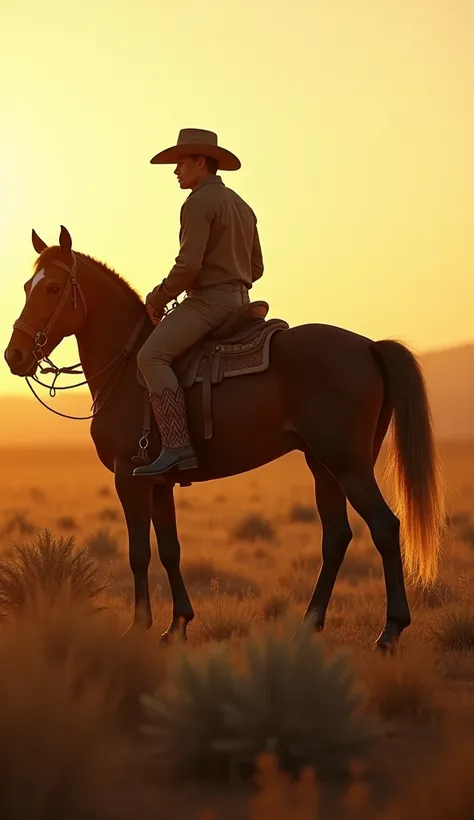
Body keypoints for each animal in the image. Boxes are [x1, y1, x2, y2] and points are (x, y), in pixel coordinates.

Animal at [3, 227, 444, 652]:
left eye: (52, 288)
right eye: (26, 286)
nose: (15, 355)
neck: (126, 369)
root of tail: (370, 347)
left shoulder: (128, 476)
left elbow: (138, 552)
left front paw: (138, 626)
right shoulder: (158, 481)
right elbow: (170, 549)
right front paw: (177, 625)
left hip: (348, 466)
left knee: (385, 527)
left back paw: (390, 631)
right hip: (323, 466)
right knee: (336, 537)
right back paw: (308, 626)